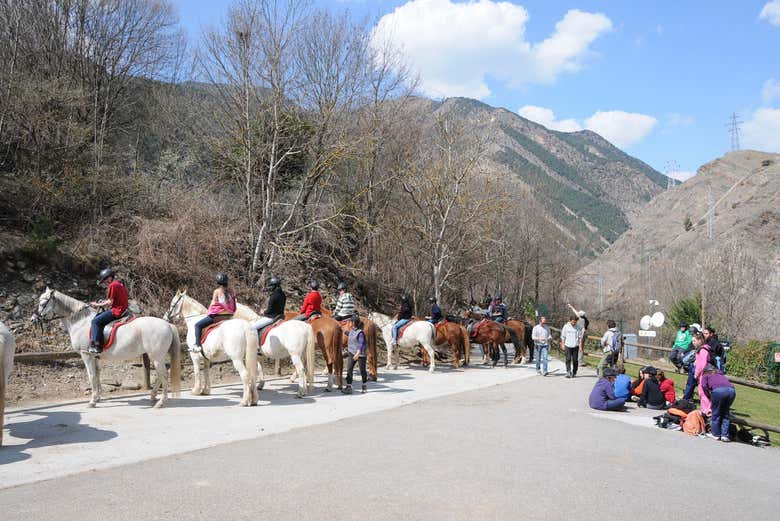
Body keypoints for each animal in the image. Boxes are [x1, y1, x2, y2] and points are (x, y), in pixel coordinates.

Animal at [31, 288, 181, 406]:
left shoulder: (86, 355)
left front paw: (92, 401)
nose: (33, 319)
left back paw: (160, 402)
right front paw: (97, 398)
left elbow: (91, 375)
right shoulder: (95, 356)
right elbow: (97, 375)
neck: (81, 321)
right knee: (161, 375)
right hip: (156, 357)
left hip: (156, 356)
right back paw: (153, 396)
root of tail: (168, 324)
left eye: (43, 303)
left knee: (163, 375)